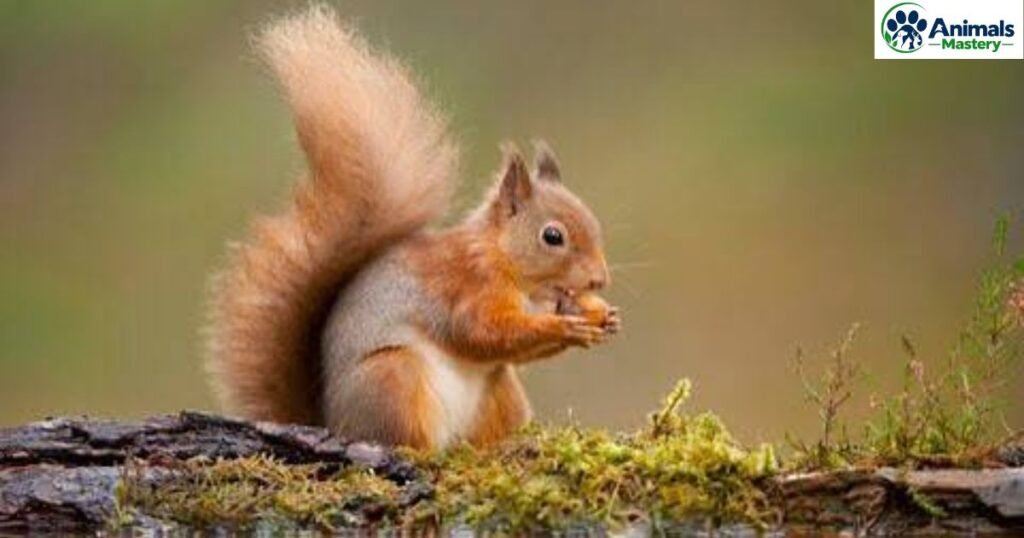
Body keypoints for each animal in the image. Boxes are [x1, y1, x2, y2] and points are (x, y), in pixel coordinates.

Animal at [206, 5, 619, 450]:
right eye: (552, 236)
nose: (599, 280)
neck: (506, 261)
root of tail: (335, 421)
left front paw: (603, 316)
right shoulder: (468, 287)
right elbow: (482, 333)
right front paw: (564, 326)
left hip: (501, 391)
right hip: (393, 377)